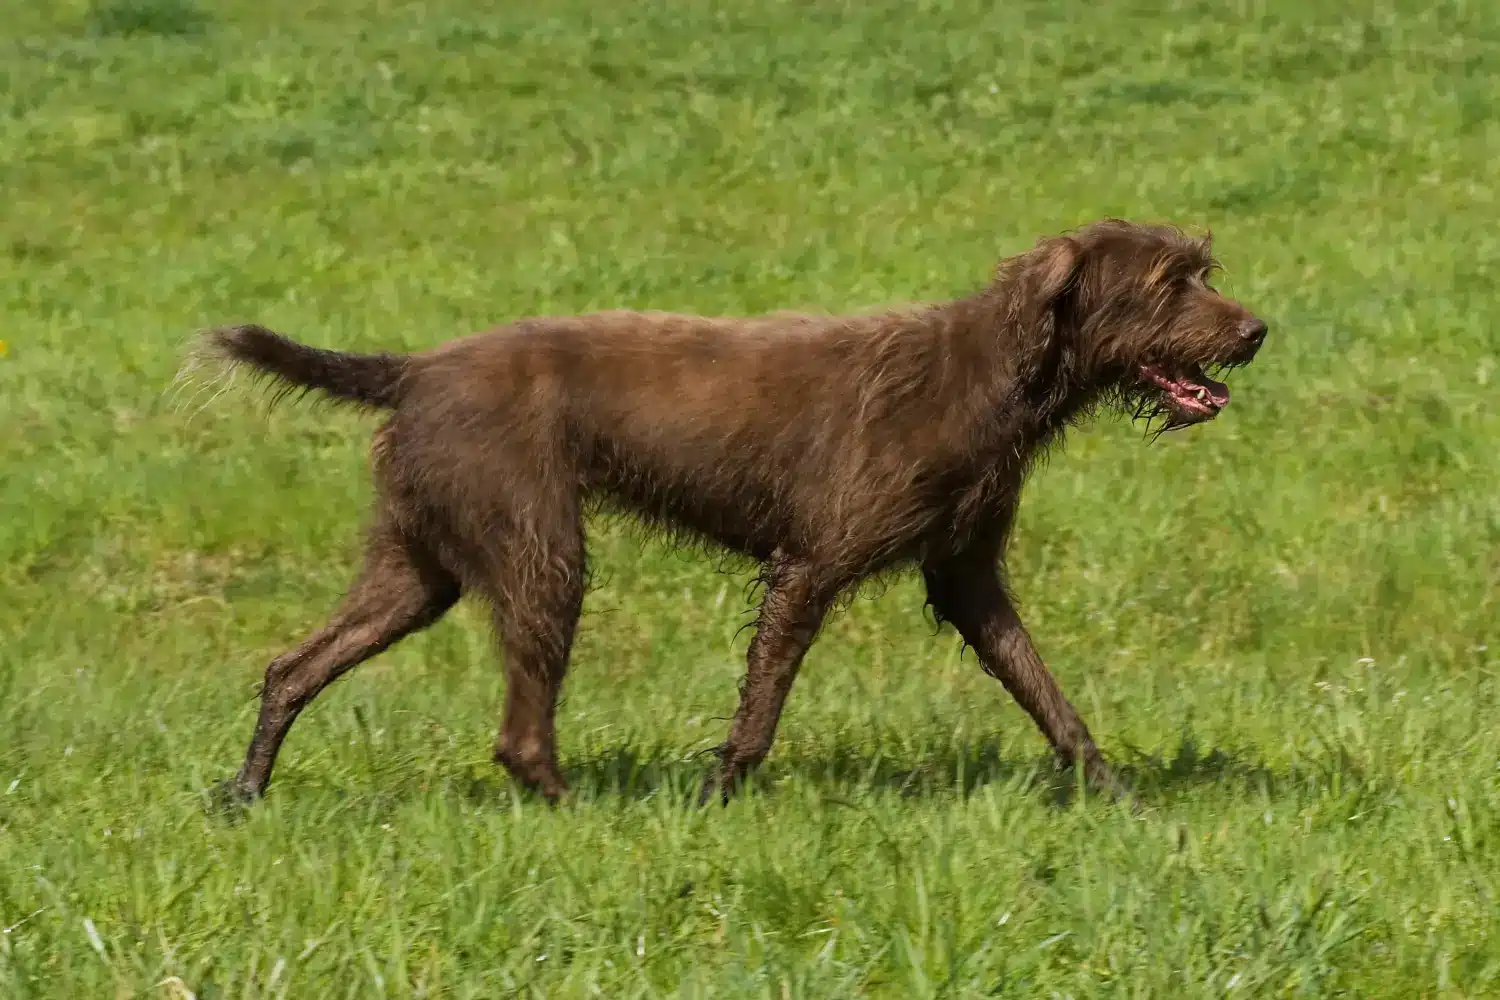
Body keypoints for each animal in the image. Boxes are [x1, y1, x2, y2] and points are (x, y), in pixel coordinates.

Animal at [187, 217, 1266, 803]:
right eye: (1171, 282)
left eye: (1203, 270)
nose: (1258, 329)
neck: (995, 372)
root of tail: (414, 369)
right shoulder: (810, 566)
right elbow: (759, 711)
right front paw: (713, 797)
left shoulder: (966, 578)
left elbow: (1051, 699)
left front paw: (1119, 797)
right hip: (542, 553)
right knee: (520, 734)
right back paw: (581, 812)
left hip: (418, 569)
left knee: (292, 668)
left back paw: (244, 792)